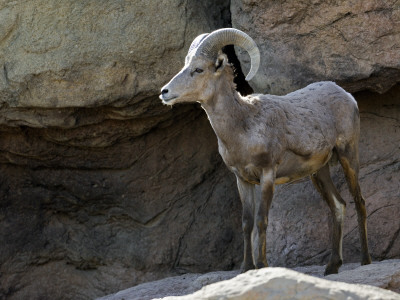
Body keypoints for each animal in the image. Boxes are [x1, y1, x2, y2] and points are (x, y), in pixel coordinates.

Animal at [159, 28, 372, 276]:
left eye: (198, 69)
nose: (164, 92)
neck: (244, 126)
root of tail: (346, 95)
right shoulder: (242, 180)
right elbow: (246, 223)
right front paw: (246, 268)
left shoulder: (267, 174)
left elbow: (262, 220)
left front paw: (262, 265)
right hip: (319, 172)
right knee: (338, 205)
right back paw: (332, 267)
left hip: (349, 156)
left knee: (359, 202)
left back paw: (365, 260)